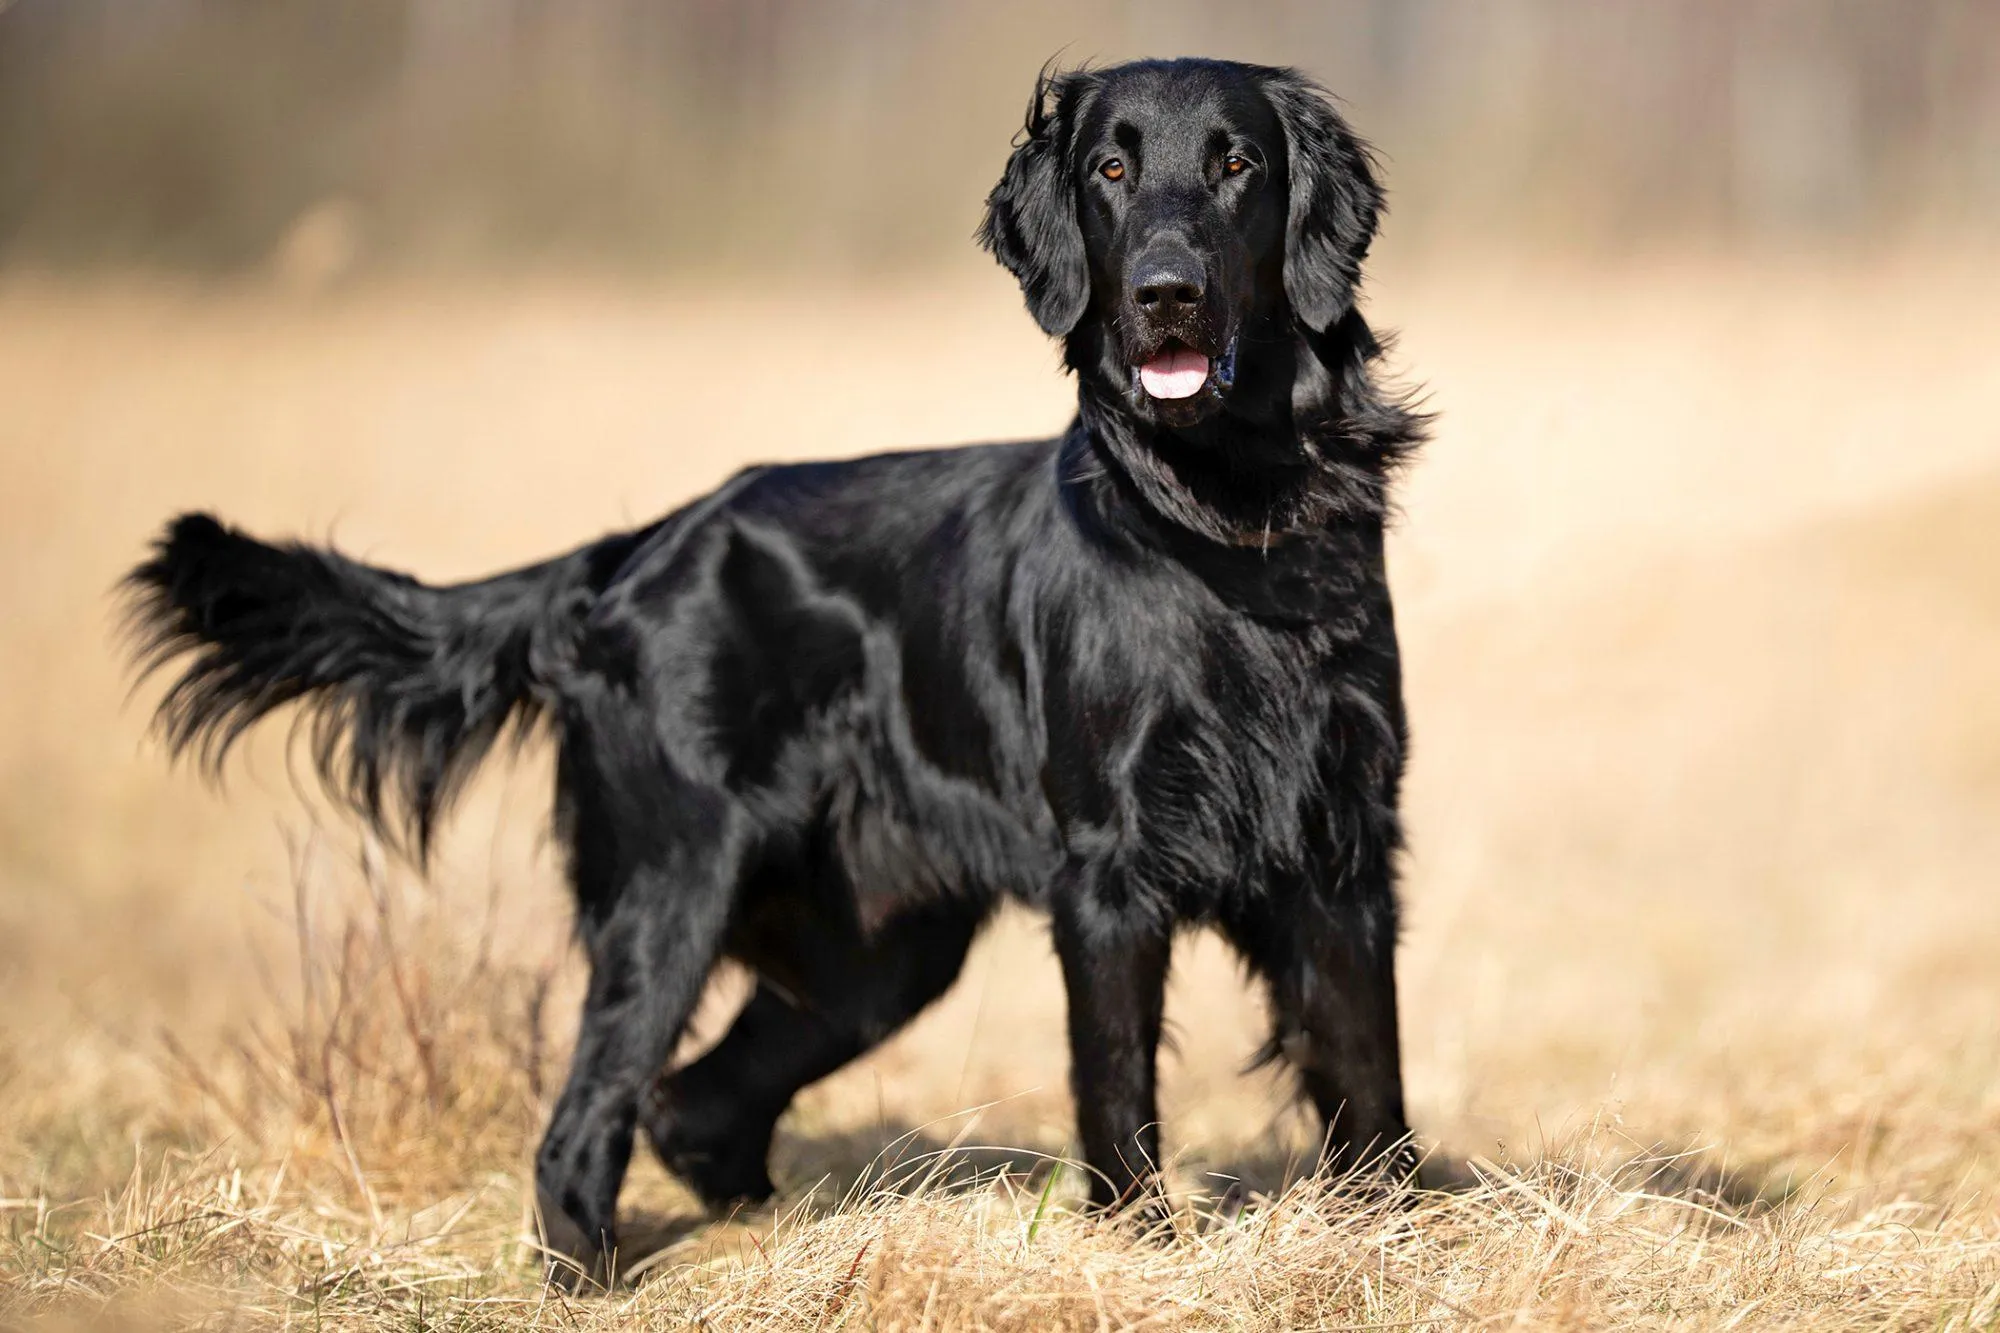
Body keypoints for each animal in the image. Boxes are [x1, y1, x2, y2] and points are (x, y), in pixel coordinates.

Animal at [125, 59, 1424, 1280]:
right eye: (1111, 169)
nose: (1164, 293)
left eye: (1234, 163)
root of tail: (633, 548)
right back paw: (592, 1274)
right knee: (585, 1118)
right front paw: (1139, 1255)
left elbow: (1366, 1069)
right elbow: (1116, 1089)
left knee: (690, 1100)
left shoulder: (1343, 850)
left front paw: (1392, 1234)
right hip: (674, 884)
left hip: (872, 951)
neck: (1227, 524)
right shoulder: (1109, 874)